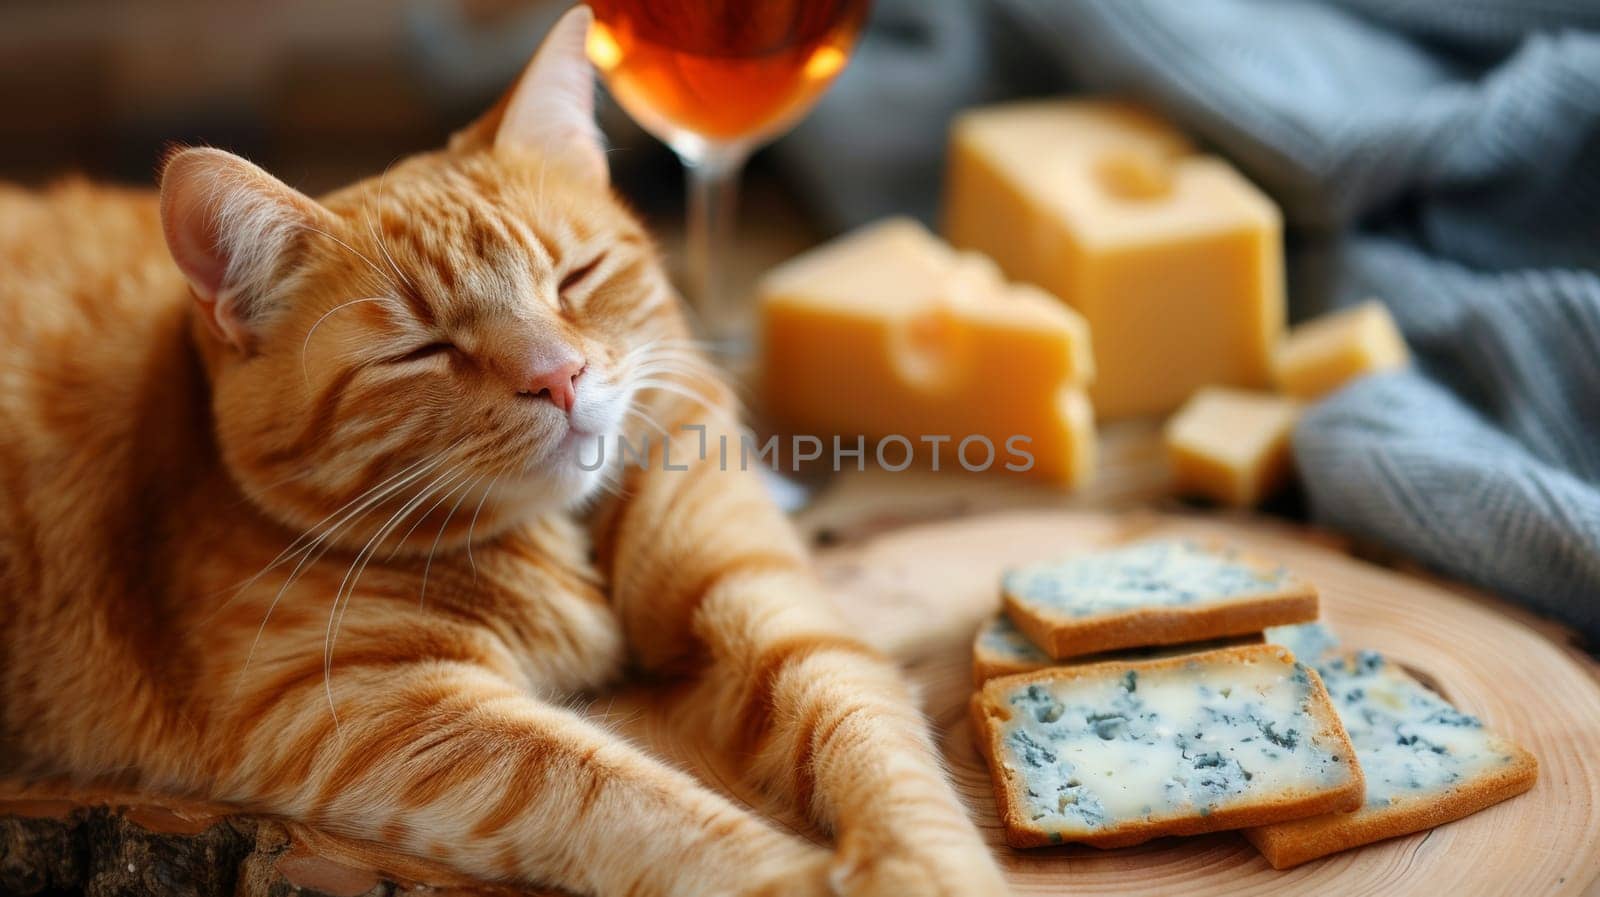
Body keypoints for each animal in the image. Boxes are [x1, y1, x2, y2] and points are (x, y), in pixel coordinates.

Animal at [0, 6, 1004, 895]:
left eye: (575, 278)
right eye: (423, 349)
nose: (557, 375)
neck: (565, 537)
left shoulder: (768, 602)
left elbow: (870, 738)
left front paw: (923, 868)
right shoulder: (359, 707)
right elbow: (616, 791)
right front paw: (799, 876)